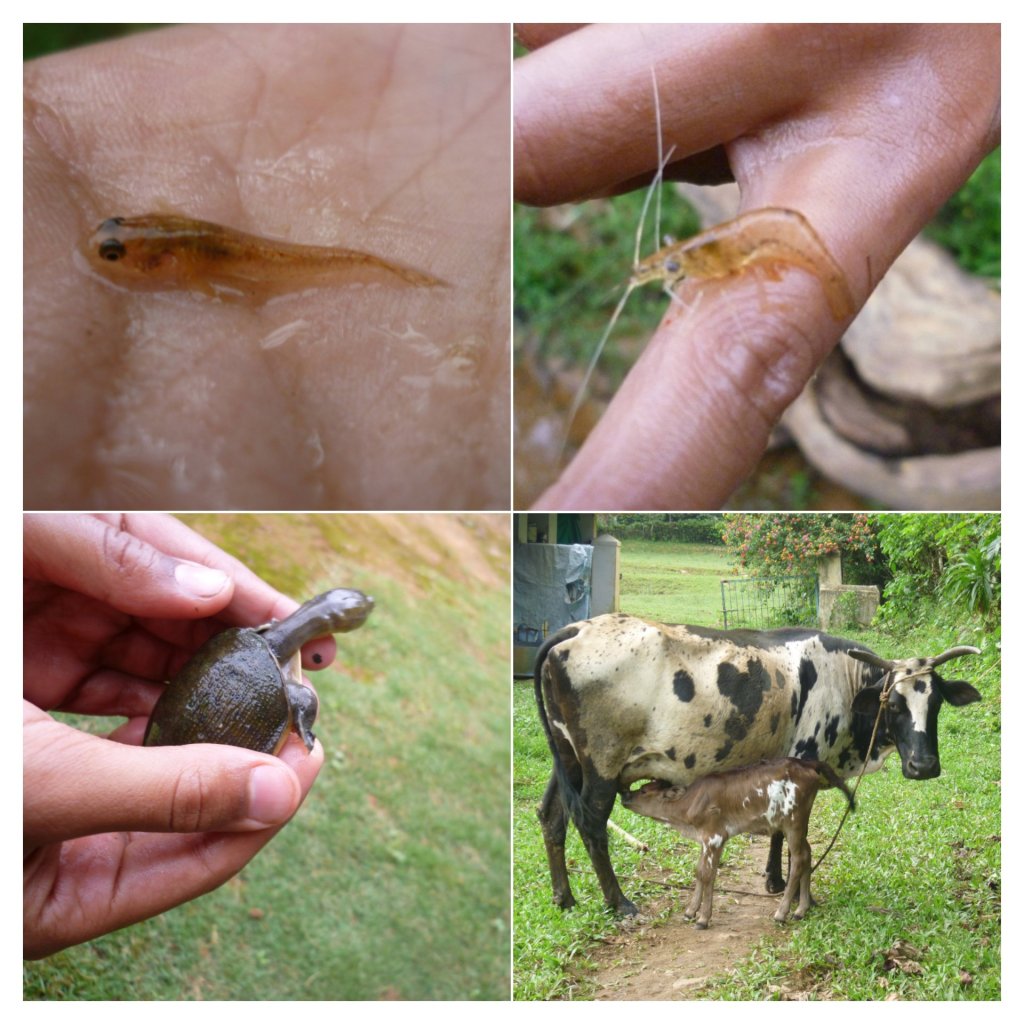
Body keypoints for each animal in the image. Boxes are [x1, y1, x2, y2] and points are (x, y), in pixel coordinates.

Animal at [621, 758, 856, 928]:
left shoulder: (714, 836)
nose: (624, 795)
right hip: (798, 824)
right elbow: (699, 872)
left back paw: (781, 913)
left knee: (799, 859)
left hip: (794, 821)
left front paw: (703, 918)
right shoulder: (705, 840)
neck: (687, 811)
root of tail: (808, 764)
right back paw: (801, 910)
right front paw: (690, 912)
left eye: (643, 790)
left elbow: (708, 874)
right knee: (808, 853)